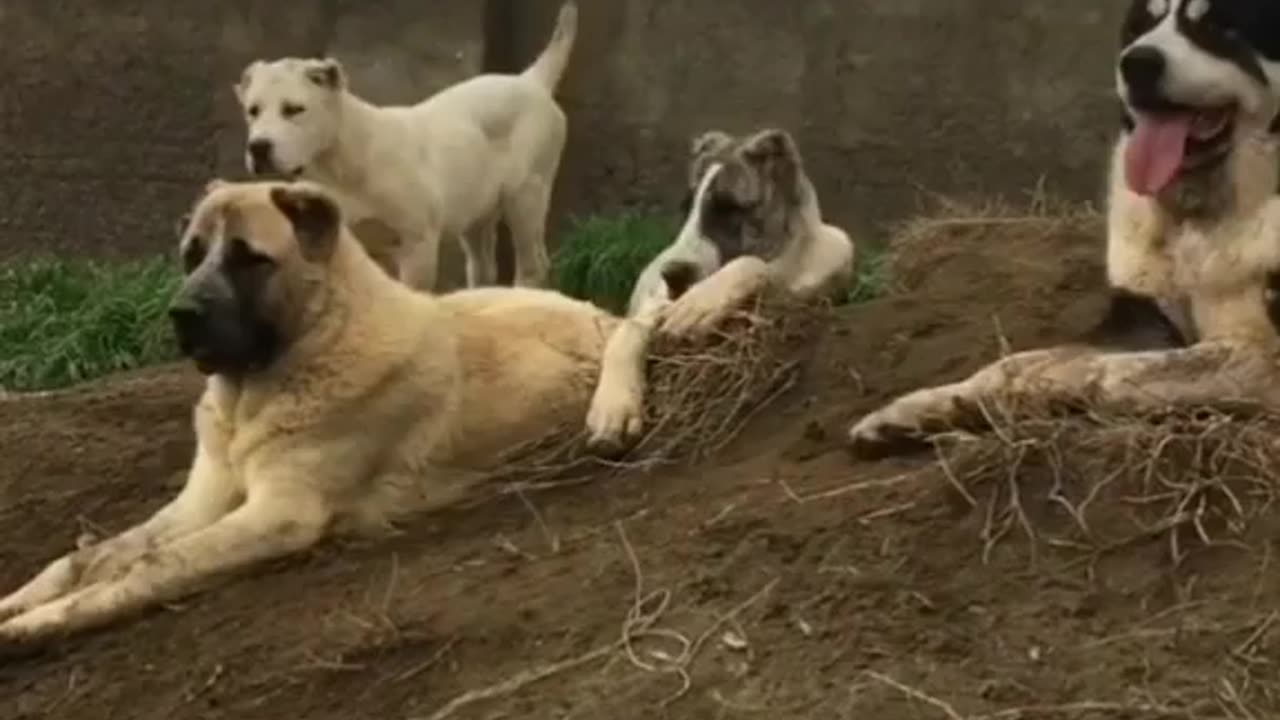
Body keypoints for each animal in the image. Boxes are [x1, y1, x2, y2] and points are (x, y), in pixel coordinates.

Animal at [0, 179, 619, 645]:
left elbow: (152, 565)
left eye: (250, 259)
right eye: (192, 256)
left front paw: (35, 624)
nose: (180, 313)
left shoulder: (280, 512)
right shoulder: (200, 502)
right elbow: (84, 559)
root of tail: (600, 313)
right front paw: (21, 601)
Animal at [235, 3, 581, 288]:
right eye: (253, 111)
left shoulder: (417, 244)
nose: (259, 147)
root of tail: (530, 80)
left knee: (533, 266)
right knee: (483, 268)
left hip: (527, 195)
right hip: (477, 212)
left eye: (294, 110)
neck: (337, 166)